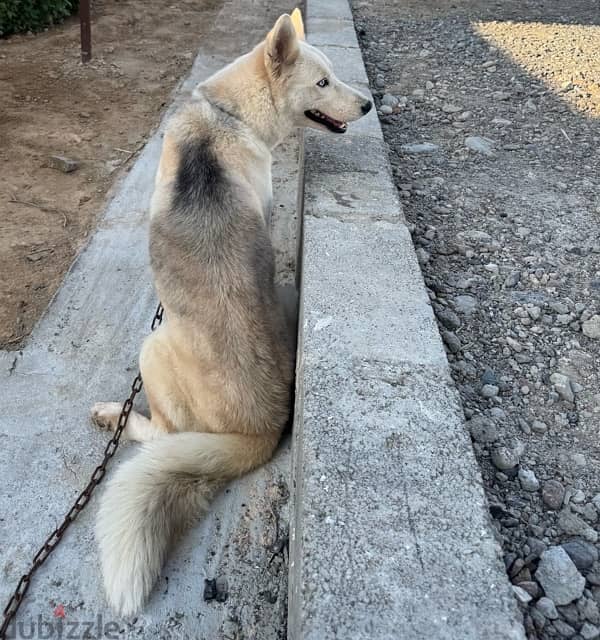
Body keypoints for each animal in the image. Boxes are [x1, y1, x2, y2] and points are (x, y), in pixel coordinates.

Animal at [90, 6, 370, 616]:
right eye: (323, 82)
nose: (367, 106)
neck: (227, 115)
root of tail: (261, 428)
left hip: (152, 349)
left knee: (161, 435)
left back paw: (113, 416)